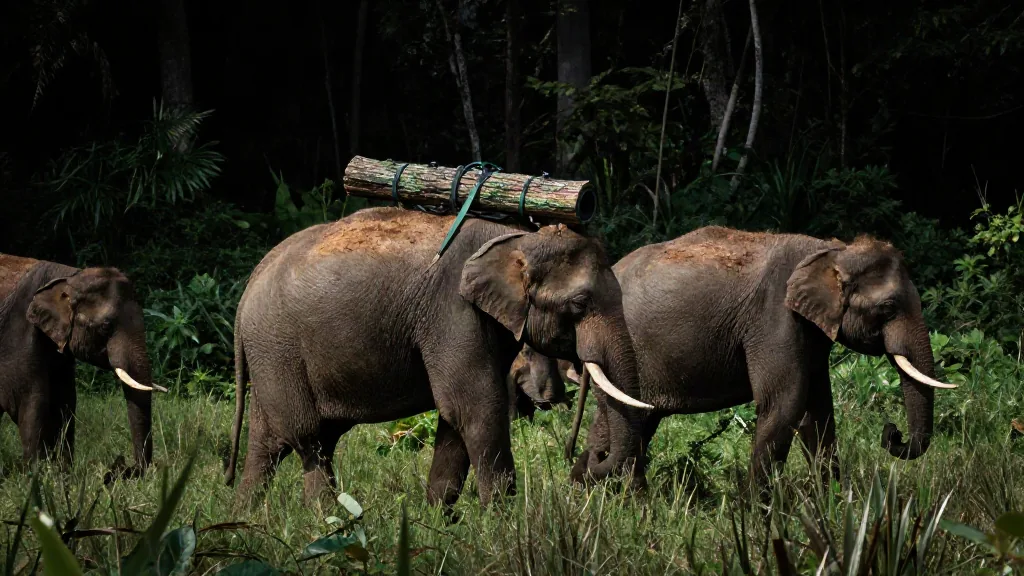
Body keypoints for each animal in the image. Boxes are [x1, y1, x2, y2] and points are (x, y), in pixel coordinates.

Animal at [0, 254, 163, 475]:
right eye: (106, 326)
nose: (130, 470)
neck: (68, 276)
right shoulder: (17, 335)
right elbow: (29, 401)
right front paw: (38, 476)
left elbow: (65, 401)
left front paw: (63, 473)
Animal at [223, 207, 652, 508]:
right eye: (580, 303)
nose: (585, 461)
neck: (516, 237)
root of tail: (247, 289)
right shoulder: (452, 313)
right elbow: (475, 406)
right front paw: (503, 523)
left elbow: (454, 415)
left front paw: (438, 519)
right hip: (279, 348)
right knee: (309, 438)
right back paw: (324, 522)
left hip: (272, 354)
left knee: (273, 441)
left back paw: (248, 516)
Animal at [552, 226, 955, 493]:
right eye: (888, 307)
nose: (892, 433)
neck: (832, 250)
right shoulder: (774, 319)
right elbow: (785, 403)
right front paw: (758, 514)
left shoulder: (809, 331)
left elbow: (818, 410)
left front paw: (833, 503)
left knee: (637, 422)